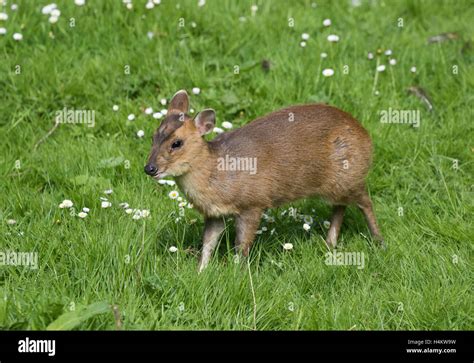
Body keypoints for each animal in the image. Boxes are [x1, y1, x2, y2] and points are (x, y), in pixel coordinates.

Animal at [144, 91, 386, 272]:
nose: (149, 168)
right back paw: (330, 242)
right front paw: (200, 272)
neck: (219, 173)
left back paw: (379, 241)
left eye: (177, 143)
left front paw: (238, 273)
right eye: (154, 136)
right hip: (337, 185)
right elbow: (208, 244)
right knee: (340, 205)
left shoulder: (253, 203)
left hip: (350, 176)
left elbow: (241, 245)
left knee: (365, 201)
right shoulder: (214, 214)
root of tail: (367, 135)